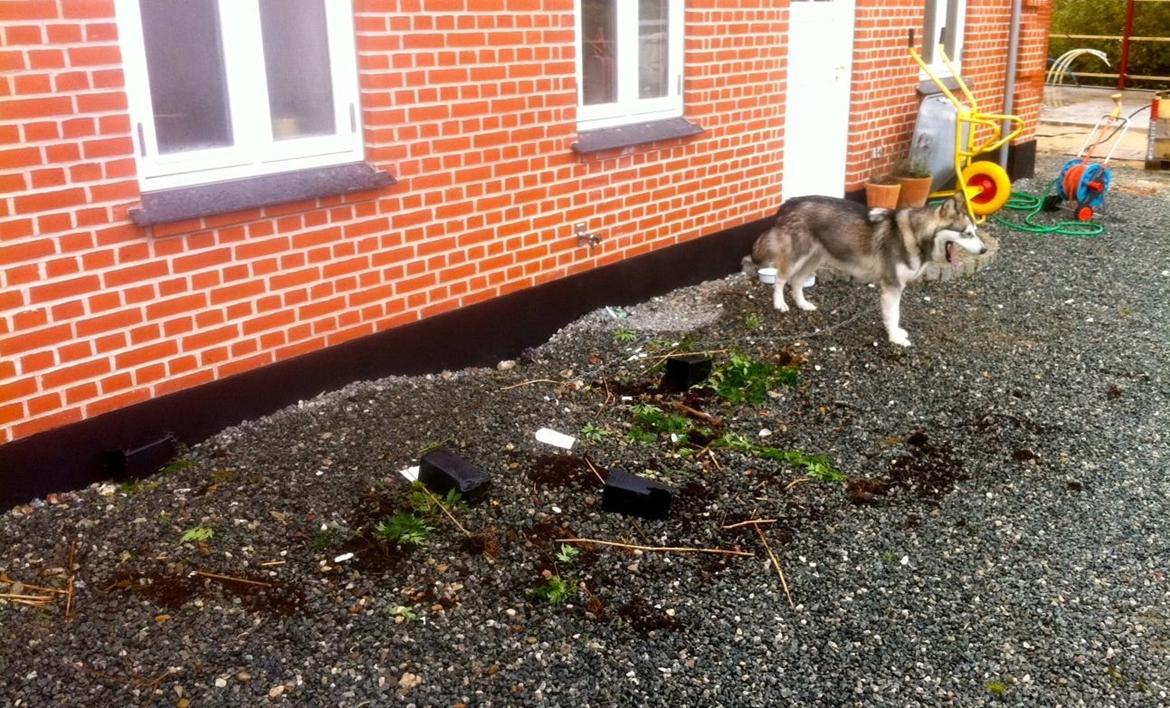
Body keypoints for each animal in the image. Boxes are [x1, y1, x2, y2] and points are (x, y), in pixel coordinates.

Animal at [744, 193, 982, 348]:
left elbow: (893, 315)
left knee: (796, 282)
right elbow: (894, 314)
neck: (916, 235)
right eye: (967, 234)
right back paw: (779, 304)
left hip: (814, 258)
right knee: (781, 279)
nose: (984, 249)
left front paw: (895, 333)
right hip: (797, 257)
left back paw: (803, 304)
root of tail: (790, 202)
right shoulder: (892, 286)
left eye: (975, 232)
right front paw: (895, 338)